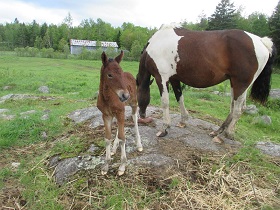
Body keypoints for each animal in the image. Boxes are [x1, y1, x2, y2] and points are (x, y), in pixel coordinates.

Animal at [137, 23, 276, 141]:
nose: (142, 115)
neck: (157, 43)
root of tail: (261, 41)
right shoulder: (174, 79)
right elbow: (179, 98)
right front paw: (183, 120)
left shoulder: (162, 78)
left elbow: (165, 102)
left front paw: (165, 128)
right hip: (236, 84)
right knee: (234, 108)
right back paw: (218, 131)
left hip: (241, 84)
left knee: (238, 109)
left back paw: (225, 134)